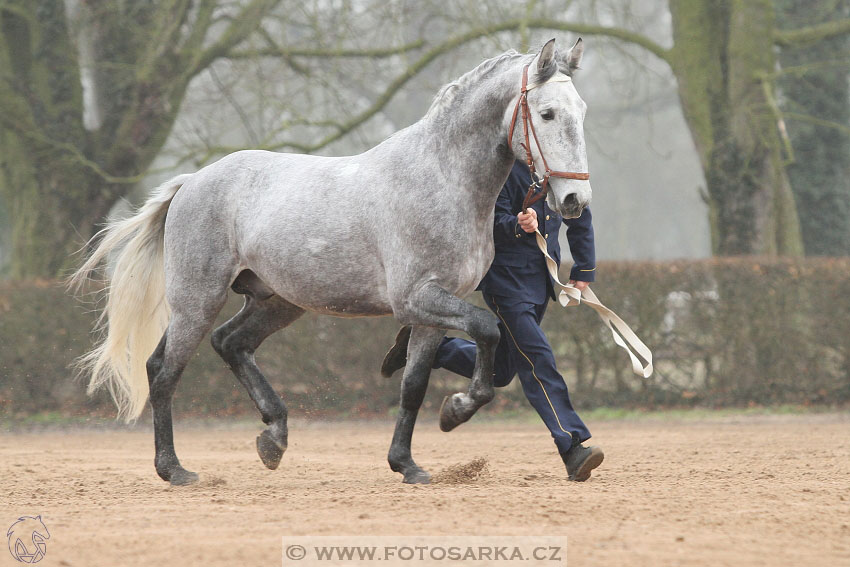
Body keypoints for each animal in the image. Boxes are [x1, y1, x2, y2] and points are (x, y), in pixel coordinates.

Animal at [71, 38, 588, 488]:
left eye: (581, 110)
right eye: (547, 113)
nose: (574, 201)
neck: (441, 179)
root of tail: (192, 181)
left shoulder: (432, 311)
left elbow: (414, 385)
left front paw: (407, 464)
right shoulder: (416, 299)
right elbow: (488, 328)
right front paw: (457, 410)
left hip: (278, 302)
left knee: (230, 343)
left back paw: (273, 437)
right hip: (197, 300)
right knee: (163, 371)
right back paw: (175, 470)